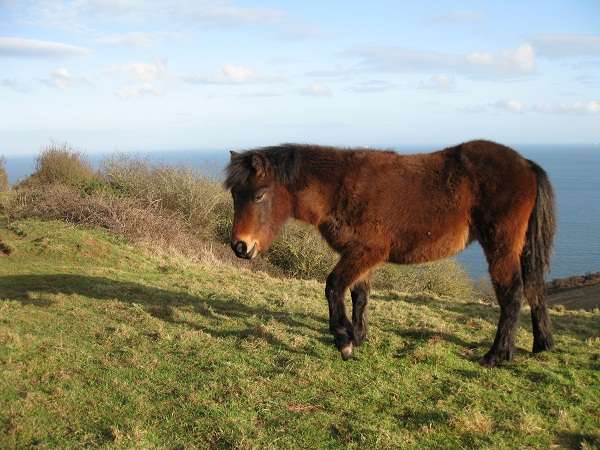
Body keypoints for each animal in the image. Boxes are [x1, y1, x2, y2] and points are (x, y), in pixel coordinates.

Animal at [226, 141, 556, 366]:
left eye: (259, 195)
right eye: (234, 195)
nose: (240, 246)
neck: (340, 188)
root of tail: (525, 163)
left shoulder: (365, 251)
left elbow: (333, 287)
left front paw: (344, 341)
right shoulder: (360, 255)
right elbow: (359, 295)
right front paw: (358, 337)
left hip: (500, 247)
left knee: (512, 294)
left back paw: (496, 355)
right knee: (534, 288)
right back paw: (542, 344)